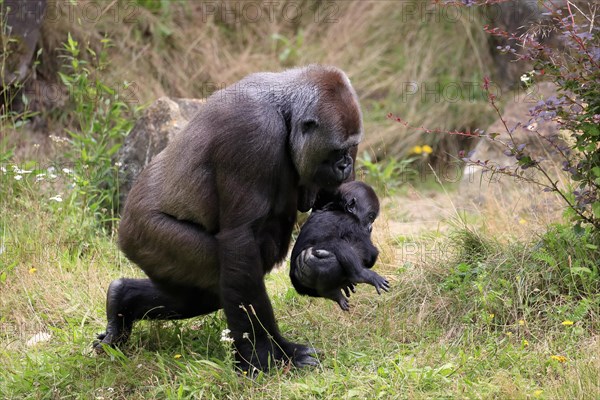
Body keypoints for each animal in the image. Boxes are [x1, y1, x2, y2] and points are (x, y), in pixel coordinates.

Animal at [96, 65, 364, 372]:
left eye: (350, 148)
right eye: (336, 151)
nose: (345, 165)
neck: (284, 111)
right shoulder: (253, 131)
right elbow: (241, 238)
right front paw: (266, 354)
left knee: (198, 294)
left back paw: (122, 302)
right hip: (145, 234)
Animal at [290, 180, 390, 310]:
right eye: (371, 217)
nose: (370, 227)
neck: (340, 208)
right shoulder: (352, 223)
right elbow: (370, 253)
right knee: (336, 247)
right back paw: (359, 276)